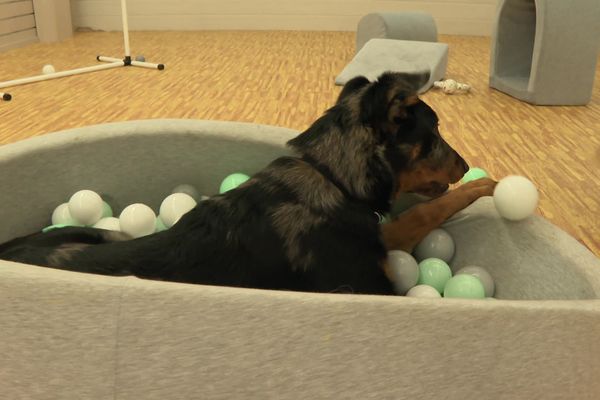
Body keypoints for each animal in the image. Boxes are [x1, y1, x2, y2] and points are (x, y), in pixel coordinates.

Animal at [0, 72, 494, 296]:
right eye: (434, 135)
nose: (465, 163)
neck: (330, 174)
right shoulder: (371, 285)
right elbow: (423, 213)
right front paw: (484, 183)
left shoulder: (378, 233)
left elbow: (419, 213)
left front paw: (479, 185)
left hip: (97, 232)